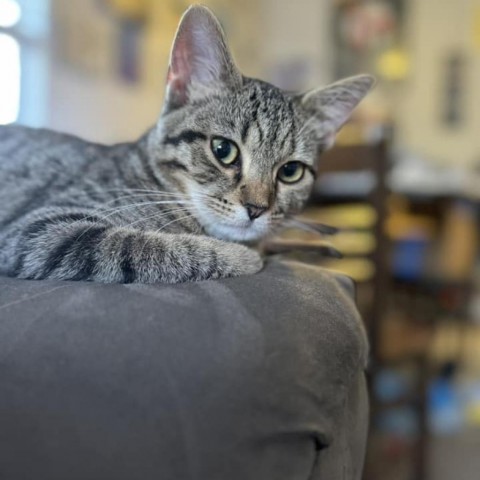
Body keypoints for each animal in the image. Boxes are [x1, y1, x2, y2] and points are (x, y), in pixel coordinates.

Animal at [0, 5, 376, 284]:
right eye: (223, 150)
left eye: (291, 171)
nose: (256, 209)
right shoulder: (40, 230)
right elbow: (144, 246)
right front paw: (244, 256)